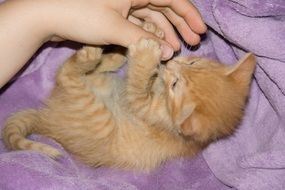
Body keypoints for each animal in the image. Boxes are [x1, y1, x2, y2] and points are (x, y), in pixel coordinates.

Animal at [1, 38, 255, 171]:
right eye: (193, 62)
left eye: (175, 85)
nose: (172, 63)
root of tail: (48, 119)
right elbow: (145, 79)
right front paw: (153, 40)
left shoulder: (145, 108)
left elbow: (137, 86)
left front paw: (146, 56)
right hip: (102, 83)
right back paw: (113, 55)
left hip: (95, 114)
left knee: (67, 75)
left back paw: (92, 54)